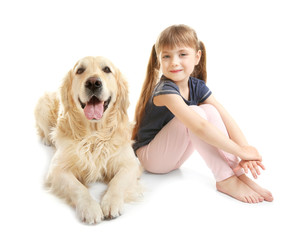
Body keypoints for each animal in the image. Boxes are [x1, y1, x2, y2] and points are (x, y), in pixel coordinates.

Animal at [34, 56, 142, 225]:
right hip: (43, 104)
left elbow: (118, 181)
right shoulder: (57, 169)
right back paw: (47, 139)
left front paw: (111, 202)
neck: (94, 134)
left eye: (107, 69)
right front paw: (90, 208)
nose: (93, 83)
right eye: (80, 70)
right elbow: (78, 187)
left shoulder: (131, 164)